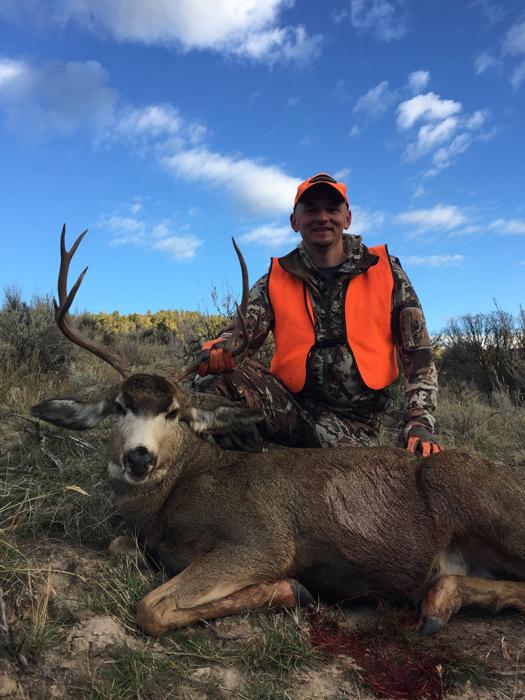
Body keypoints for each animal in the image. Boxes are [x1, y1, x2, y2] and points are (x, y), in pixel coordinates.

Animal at [30, 226, 525, 637]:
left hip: (476, 498)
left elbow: (151, 608)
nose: (139, 456)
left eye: (174, 413)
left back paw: (436, 603)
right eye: (119, 407)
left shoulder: (261, 540)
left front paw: (290, 589)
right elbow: (118, 545)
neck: (172, 497)